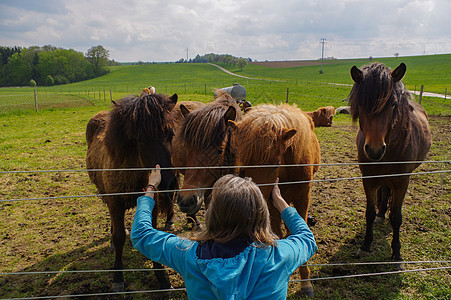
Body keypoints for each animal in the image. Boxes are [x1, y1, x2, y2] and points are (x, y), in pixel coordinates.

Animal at [85, 92, 179, 290]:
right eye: (140, 139)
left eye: (171, 134)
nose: (169, 182)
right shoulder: (115, 203)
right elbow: (119, 237)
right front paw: (118, 277)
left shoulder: (153, 203)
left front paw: (162, 277)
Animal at [230, 103, 322, 298]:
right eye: (244, 165)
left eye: (275, 165)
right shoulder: (272, 203)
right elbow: (278, 233)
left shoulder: (303, 198)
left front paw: (306, 282)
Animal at [350, 62, 434, 268]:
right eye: (361, 104)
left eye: (393, 104)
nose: (374, 150)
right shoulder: (368, 180)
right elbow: (369, 213)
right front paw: (365, 246)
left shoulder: (402, 182)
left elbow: (397, 217)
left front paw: (397, 254)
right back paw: (382, 214)